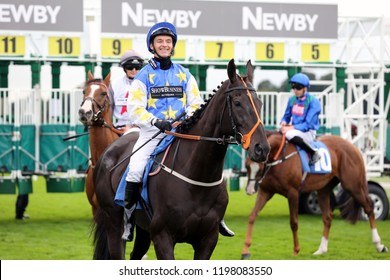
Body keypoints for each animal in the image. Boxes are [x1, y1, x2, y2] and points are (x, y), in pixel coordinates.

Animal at [92, 59, 272, 260]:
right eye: (238, 102)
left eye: (260, 103)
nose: (262, 148)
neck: (197, 180)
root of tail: (107, 153)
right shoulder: (162, 237)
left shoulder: (208, 239)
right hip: (114, 224)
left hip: (143, 230)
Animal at [241, 131, 386, 258]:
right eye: (247, 165)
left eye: (260, 167)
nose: (249, 190)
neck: (280, 157)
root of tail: (353, 146)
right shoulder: (266, 192)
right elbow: (252, 216)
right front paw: (245, 250)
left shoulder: (293, 193)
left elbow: (294, 222)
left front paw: (296, 250)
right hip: (323, 190)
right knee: (327, 218)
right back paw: (321, 249)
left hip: (353, 185)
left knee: (369, 207)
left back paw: (379, 245)